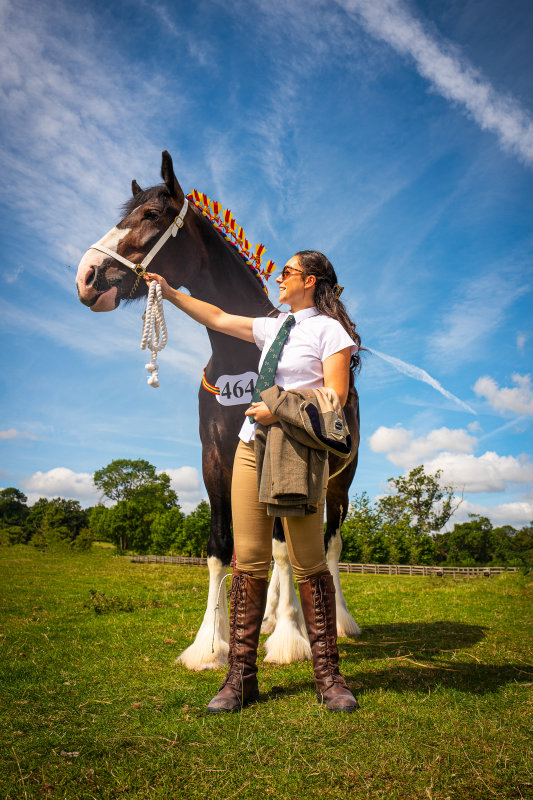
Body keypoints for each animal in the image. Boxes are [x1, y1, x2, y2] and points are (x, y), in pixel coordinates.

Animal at [76, 150, 362, 668]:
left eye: (152, 214)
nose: (86, 277)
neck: (239, 355)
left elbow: (285, 549)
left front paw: (290, 638)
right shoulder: (214, 460)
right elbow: (221, 547)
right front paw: (211, 643)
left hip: (340, 482)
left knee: (329, 545)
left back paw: (338, 621)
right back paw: (270, 617)